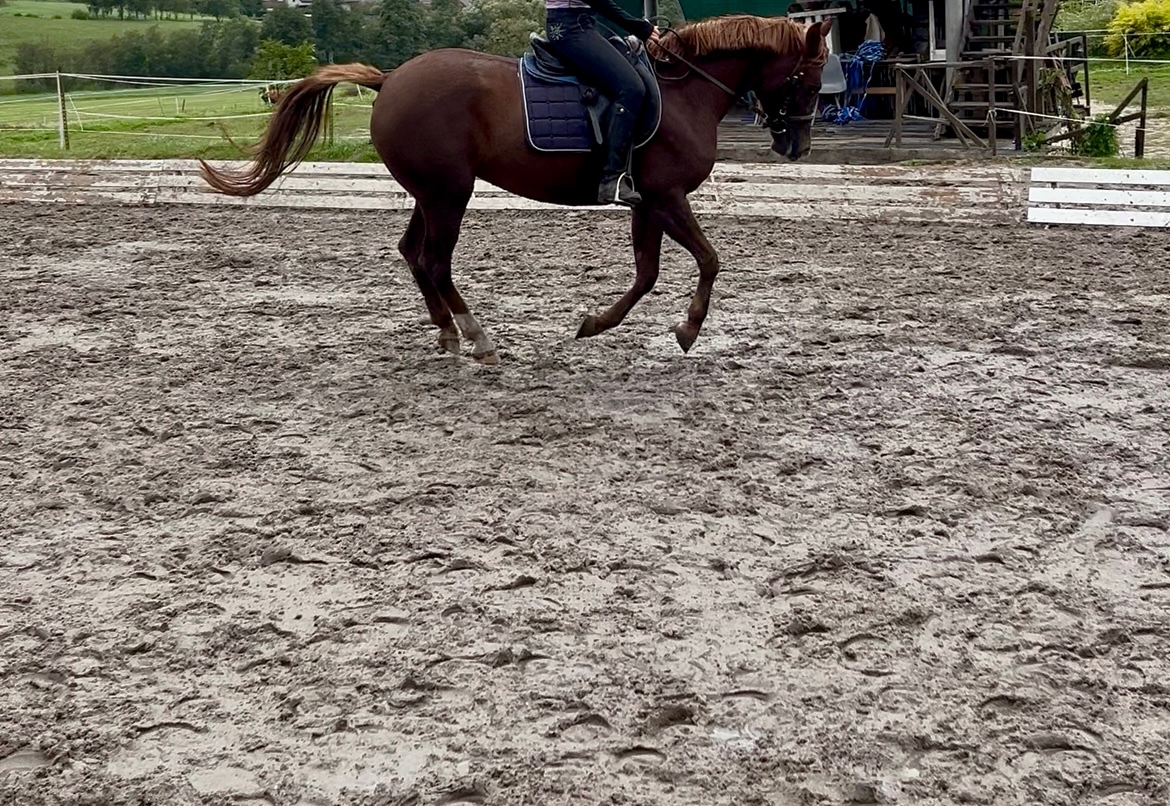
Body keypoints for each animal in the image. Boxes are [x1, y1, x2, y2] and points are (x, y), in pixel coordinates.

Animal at [199, 15, 832, 365]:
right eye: (809, 77)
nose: (797, 146)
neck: (683, 92)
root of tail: (390, 78)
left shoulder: (648, 202)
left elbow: (647, 273)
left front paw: (596, 324)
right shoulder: (668, 197)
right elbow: (708, 260)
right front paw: (687, 330)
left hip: (431, 192)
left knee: (414, 255)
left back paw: (447, 333)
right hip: (449, 193)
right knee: (434, 260)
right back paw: (477, 338)